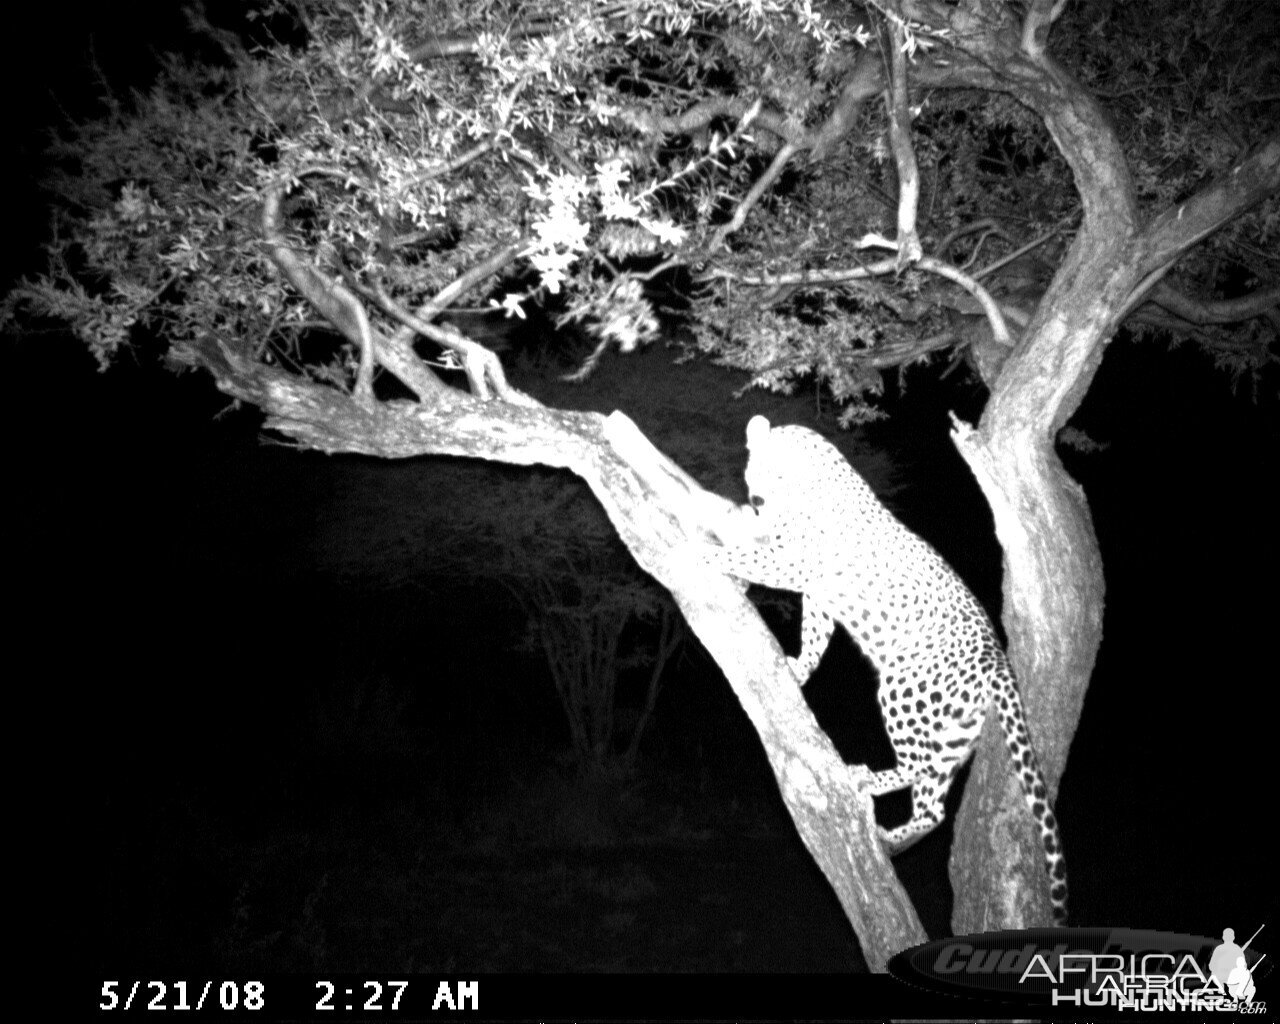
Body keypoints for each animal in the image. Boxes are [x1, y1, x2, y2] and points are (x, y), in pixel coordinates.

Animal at [711, 412, 1070, 921]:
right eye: (753, 468)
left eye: (779, 475)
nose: (757, 501)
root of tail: (997, 662)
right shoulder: (819, 588)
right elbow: (815, 633)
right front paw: (799, 668)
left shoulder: (799, 560)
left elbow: (753, 558)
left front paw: (703, 551)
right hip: (952, 732)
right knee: (933, 805)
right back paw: (891, 838)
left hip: (903, 688)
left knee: (916, 766)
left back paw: (864, 779)